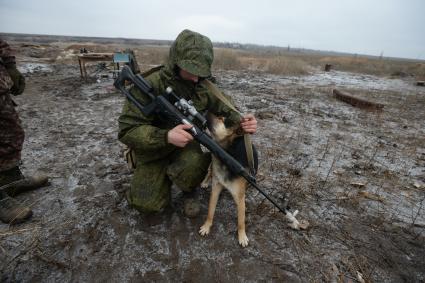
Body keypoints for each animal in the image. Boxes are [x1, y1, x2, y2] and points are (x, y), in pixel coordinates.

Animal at [199, 112, 258, 247]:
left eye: (221, 119)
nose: (206, 111)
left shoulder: (239, 195)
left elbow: (241, 220)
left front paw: (242, 236)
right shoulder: (216, 188)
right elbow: (210, 211)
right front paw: (207, 226)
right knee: (209, 171)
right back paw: (205, 182)